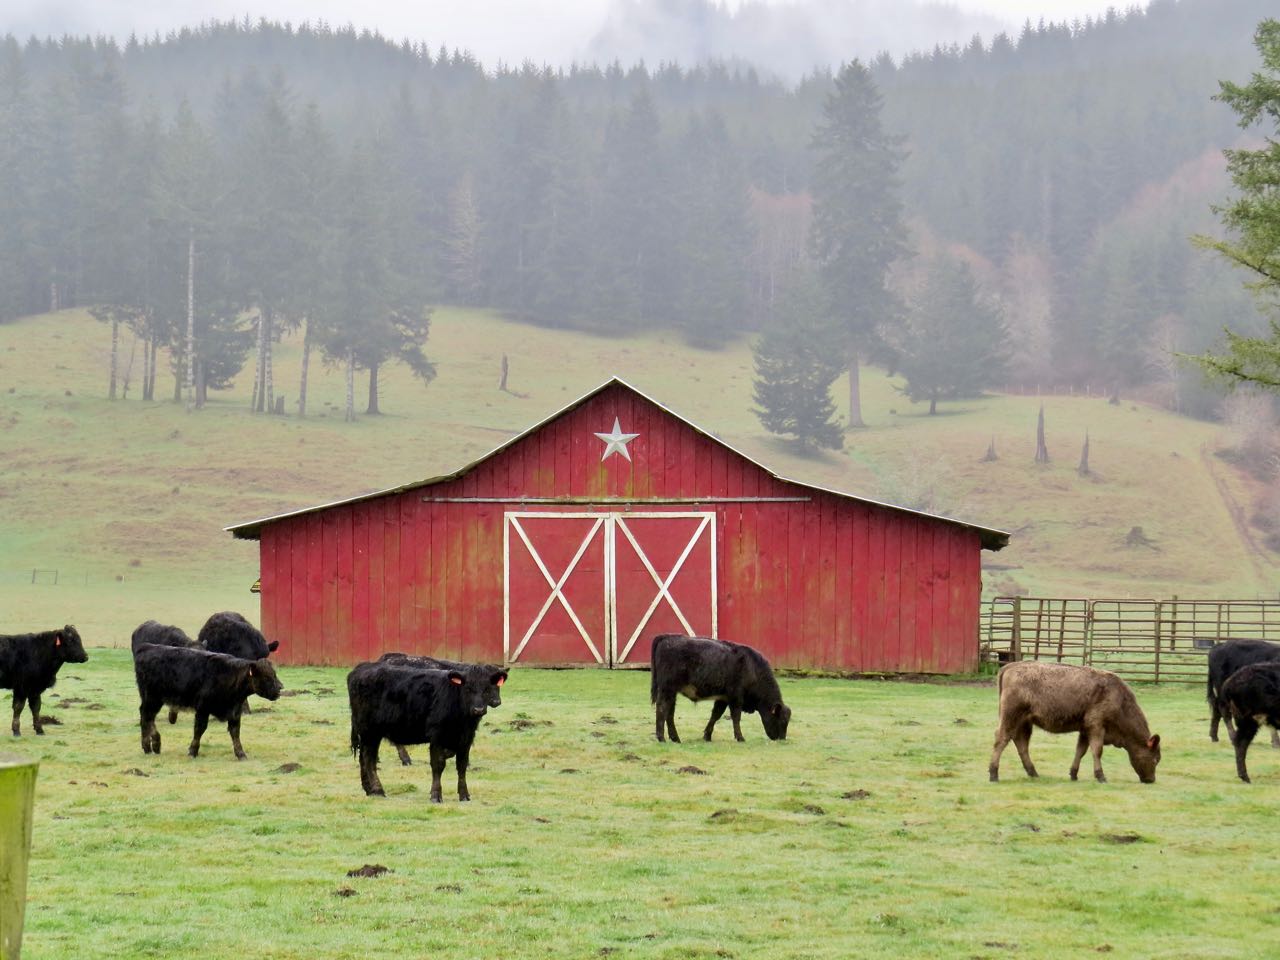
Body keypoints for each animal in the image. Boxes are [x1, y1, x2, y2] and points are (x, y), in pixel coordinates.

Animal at [133, 644, 282, 759]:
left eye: (274, 674)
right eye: (267, 677)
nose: (281, 687)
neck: (229, 675)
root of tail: (147, 647)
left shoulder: (235, 712)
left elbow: (235, 733)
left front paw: (241, 754)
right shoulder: (203, 709)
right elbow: (199, 729)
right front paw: (193, 751)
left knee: (145, 717)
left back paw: (147, 747)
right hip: (152, 698)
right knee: (147, 716)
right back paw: (155, 743)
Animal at [650, 634, 791, 743]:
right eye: (782, 720)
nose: (781, 739)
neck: (752, 669)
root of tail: (666, 637)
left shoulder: (723, 698)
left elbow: (715, 715)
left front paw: (707, 736)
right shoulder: (736, 697)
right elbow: (736, 717)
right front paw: (740, 737)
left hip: (672, 692)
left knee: (670, 712)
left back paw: (675, 739)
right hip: (667, 689)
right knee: (662, 708)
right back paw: (661, 738)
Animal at [989, 661, 1161, 783]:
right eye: (1155, 759)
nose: (1151, 780)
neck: (1120, 700)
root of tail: (1010, 666)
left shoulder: (1085, 730)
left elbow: (1081, 751)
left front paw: (1073, 774)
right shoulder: (1096, 726)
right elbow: (1097, 750)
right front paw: (1101, 776)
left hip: (1024, 723)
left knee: (1021, 744)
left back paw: (1034, 773)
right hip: (1010, 717)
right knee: (1001, 740)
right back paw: (994, 774)